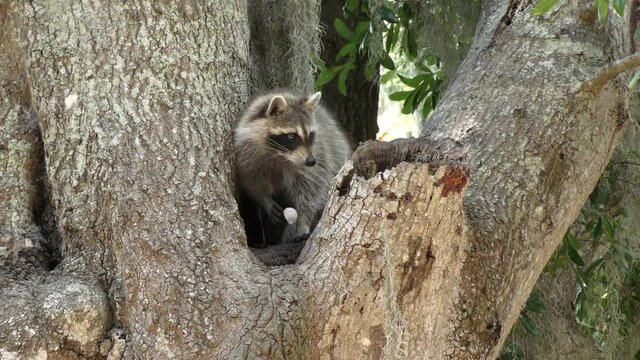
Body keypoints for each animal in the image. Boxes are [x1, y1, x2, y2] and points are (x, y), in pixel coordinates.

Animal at [234, 90, 350, 248]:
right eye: (291, 136)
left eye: (310, 135)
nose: (311, 161)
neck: (279, 154)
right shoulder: (247, 154)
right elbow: (251, 180)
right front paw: (264, 198)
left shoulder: (317, 157)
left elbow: (311, 191)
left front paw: (302, 223)